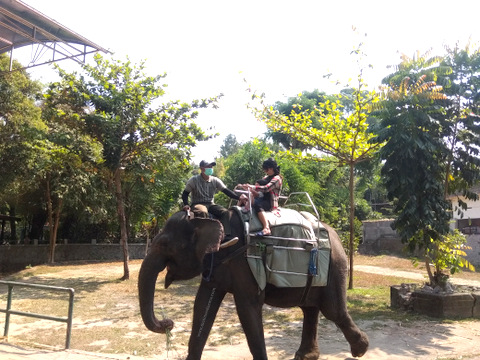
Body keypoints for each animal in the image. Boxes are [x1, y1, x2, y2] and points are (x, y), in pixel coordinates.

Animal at [137, 210, 370, 358]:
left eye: (164, 245)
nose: (168, 323)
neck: (210, 219)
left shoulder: (242, 264)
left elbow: (247, 307)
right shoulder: (217, 265)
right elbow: (203, 305)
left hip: (334, 266)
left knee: (333, 310)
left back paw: (360, 349)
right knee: (310, 308)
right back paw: (307, 356)